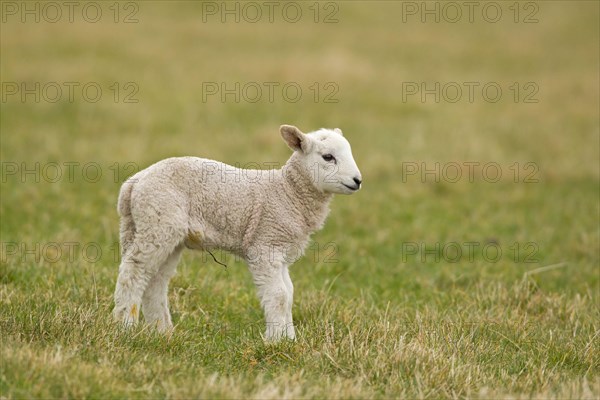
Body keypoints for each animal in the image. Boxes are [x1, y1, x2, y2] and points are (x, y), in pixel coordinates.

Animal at [115, 123, 364, 340]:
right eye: (328, 157)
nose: (358, 181)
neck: (287, 192)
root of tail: (134, 182)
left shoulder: (280, 251)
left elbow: (289, 293)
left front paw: (290, 339)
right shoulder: (266, 244)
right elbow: (279, 295)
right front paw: (277, 340)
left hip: (158, 230)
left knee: (155, 280)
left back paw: (162, 331)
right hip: (157, 222)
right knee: (133, 272)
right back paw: (125, 327)